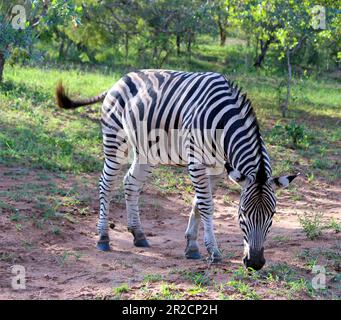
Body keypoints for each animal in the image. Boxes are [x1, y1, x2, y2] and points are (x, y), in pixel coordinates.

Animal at [55, 70, 298, 270]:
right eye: (243, 213)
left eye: (272, 215)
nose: (255, 263)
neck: (223, 125)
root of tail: (120, 80)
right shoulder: (196, 162)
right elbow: (207, 205)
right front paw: (213, 251)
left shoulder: (217, 168)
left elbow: (198, 204)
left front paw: (191, 247)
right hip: (115, 140)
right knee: (106, 184)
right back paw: (103, 238)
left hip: (147, 151)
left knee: (130, 183)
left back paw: (138, 234)